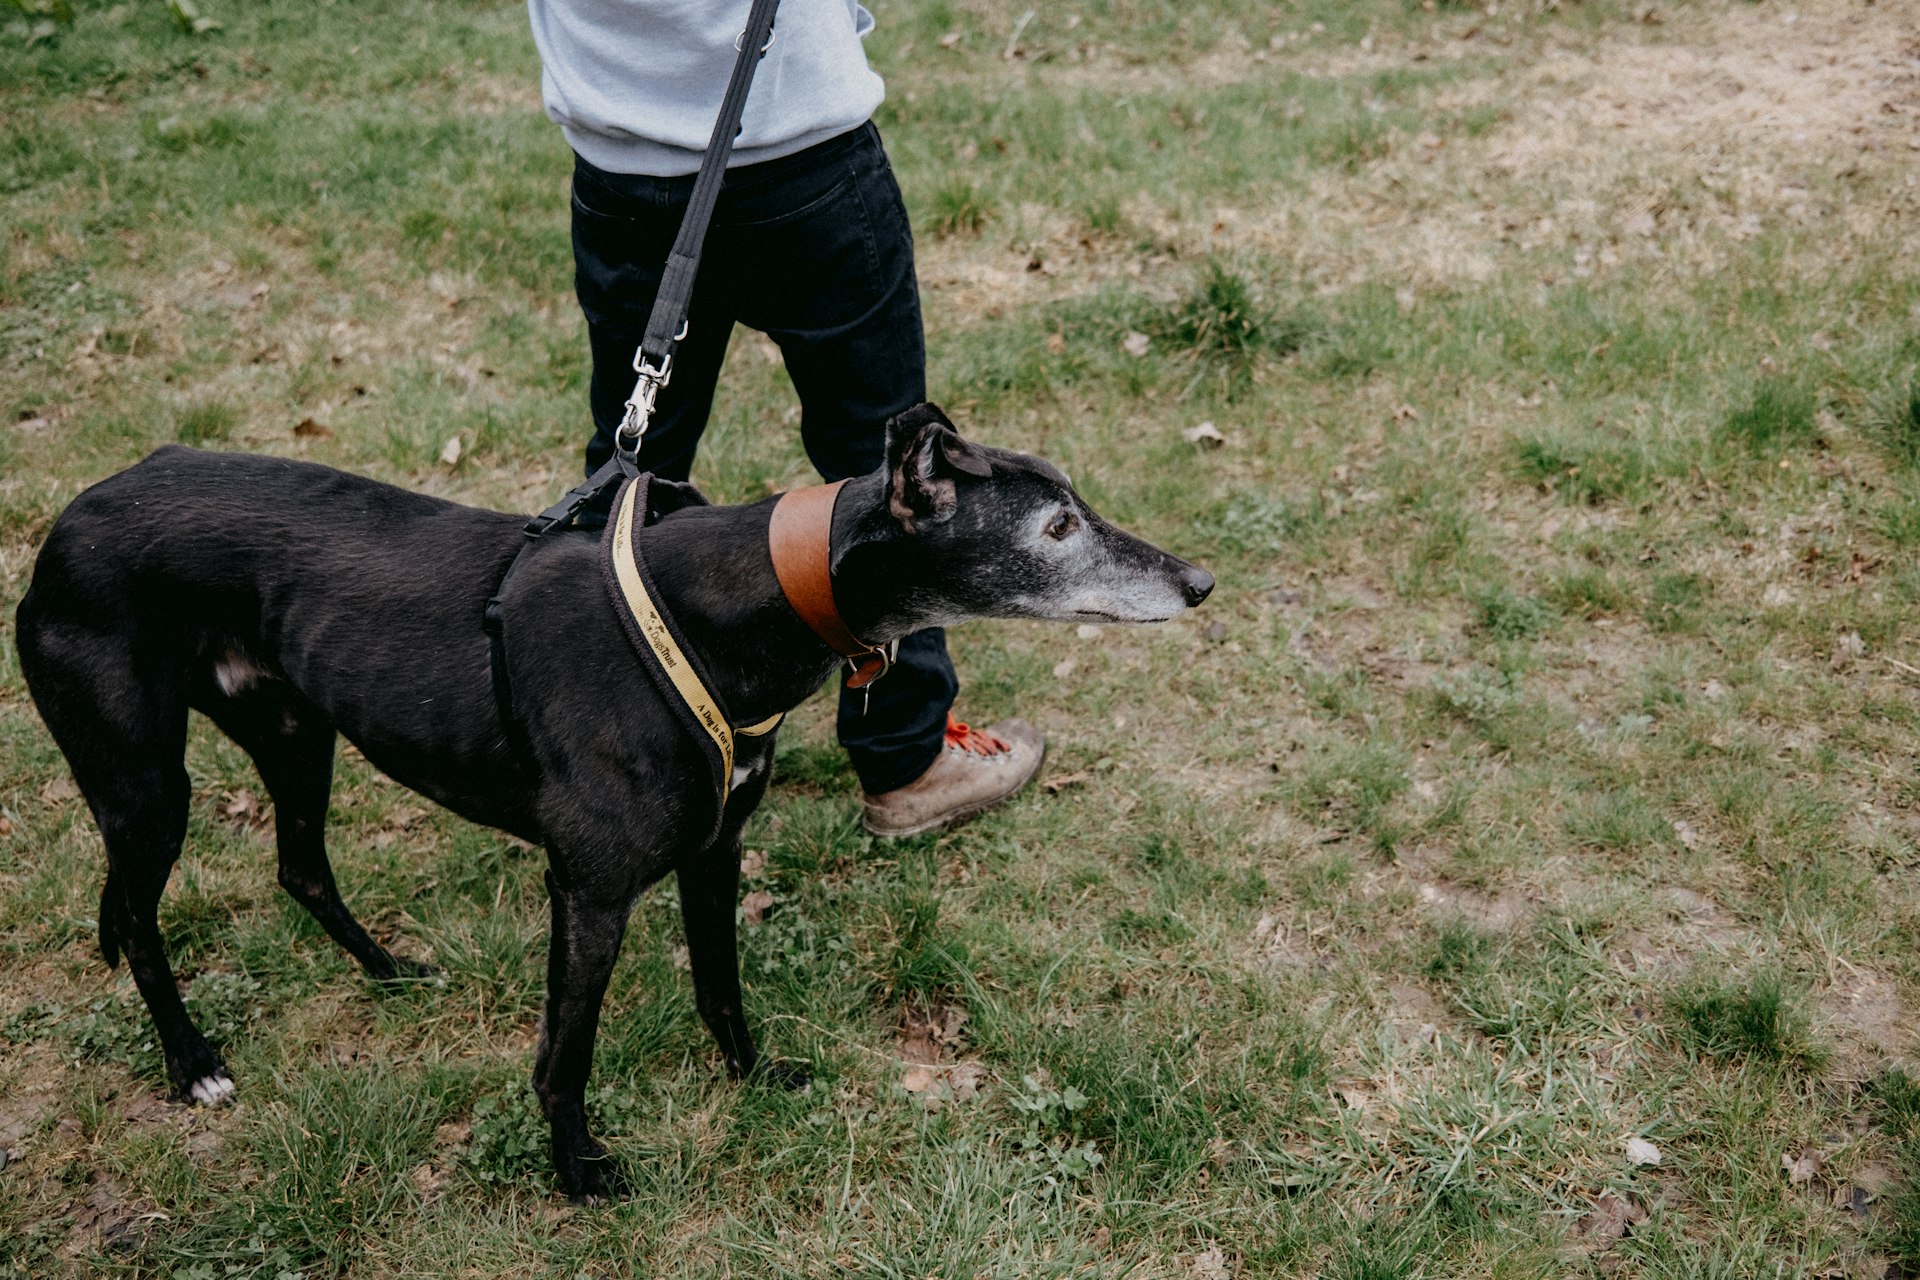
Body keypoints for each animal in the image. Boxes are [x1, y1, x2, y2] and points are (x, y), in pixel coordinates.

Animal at [15, 404, 1205, 1205]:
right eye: (1056, 526)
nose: (1199, 581)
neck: (724, 607)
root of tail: (74, 512)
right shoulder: (589, 889)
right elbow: (565, 1054)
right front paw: (578, 1171)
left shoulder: (715, 850)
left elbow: (723, 989)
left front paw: (754, 1079)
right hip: (144, 783)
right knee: (140, 919)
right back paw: (193, 1063)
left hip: (296, 732)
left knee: (299, 865)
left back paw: (389, 971)